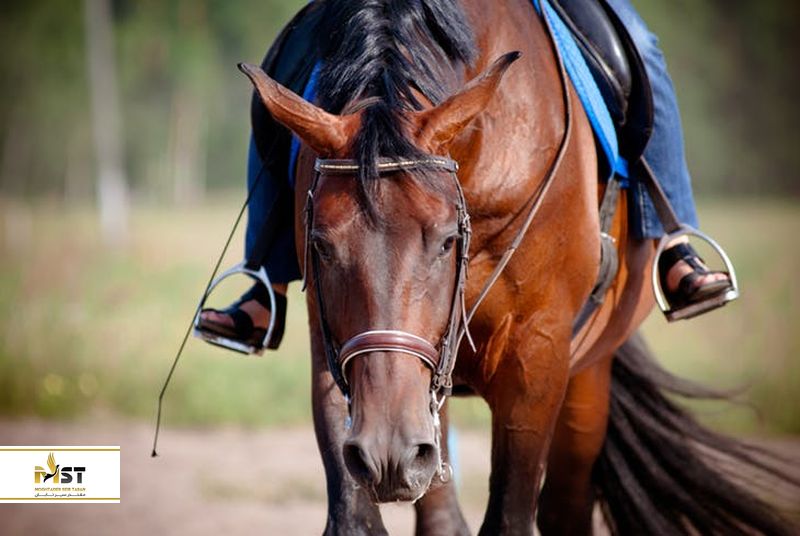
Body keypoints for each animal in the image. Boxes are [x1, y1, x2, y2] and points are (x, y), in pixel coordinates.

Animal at [238, 0, 795, 534]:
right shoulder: (339, 354)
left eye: (447, 240)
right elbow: (354, 516)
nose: (387, 451)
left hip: (582, 381)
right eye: (321, 245)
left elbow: (510, 517)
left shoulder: (538, 356)